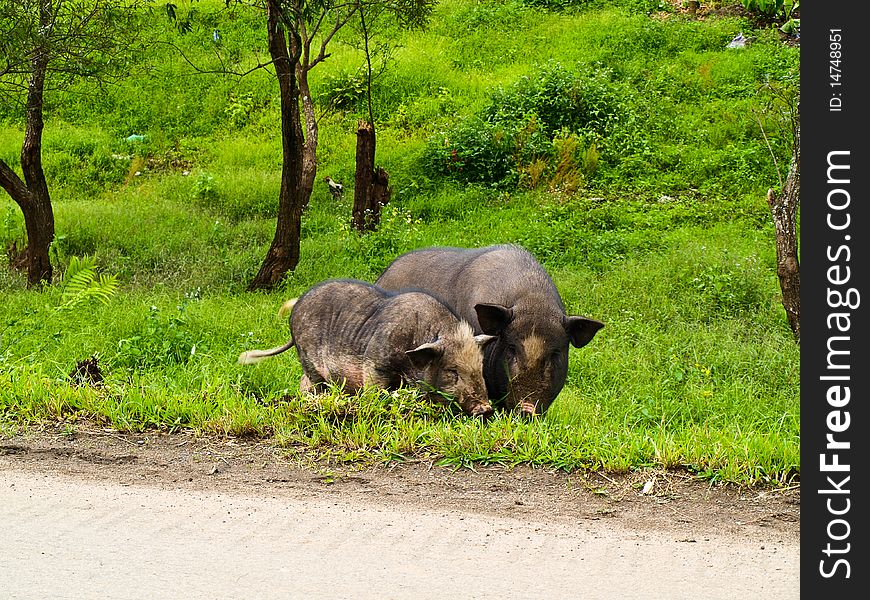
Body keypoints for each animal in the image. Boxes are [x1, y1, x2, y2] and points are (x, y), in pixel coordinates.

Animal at [240, 280, 498, 418]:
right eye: (452, 371)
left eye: (479, 368)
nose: (486, 408)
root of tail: (295, 308)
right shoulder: (375, 363)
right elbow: (375, 390)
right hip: (309, 359)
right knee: (313, 382)